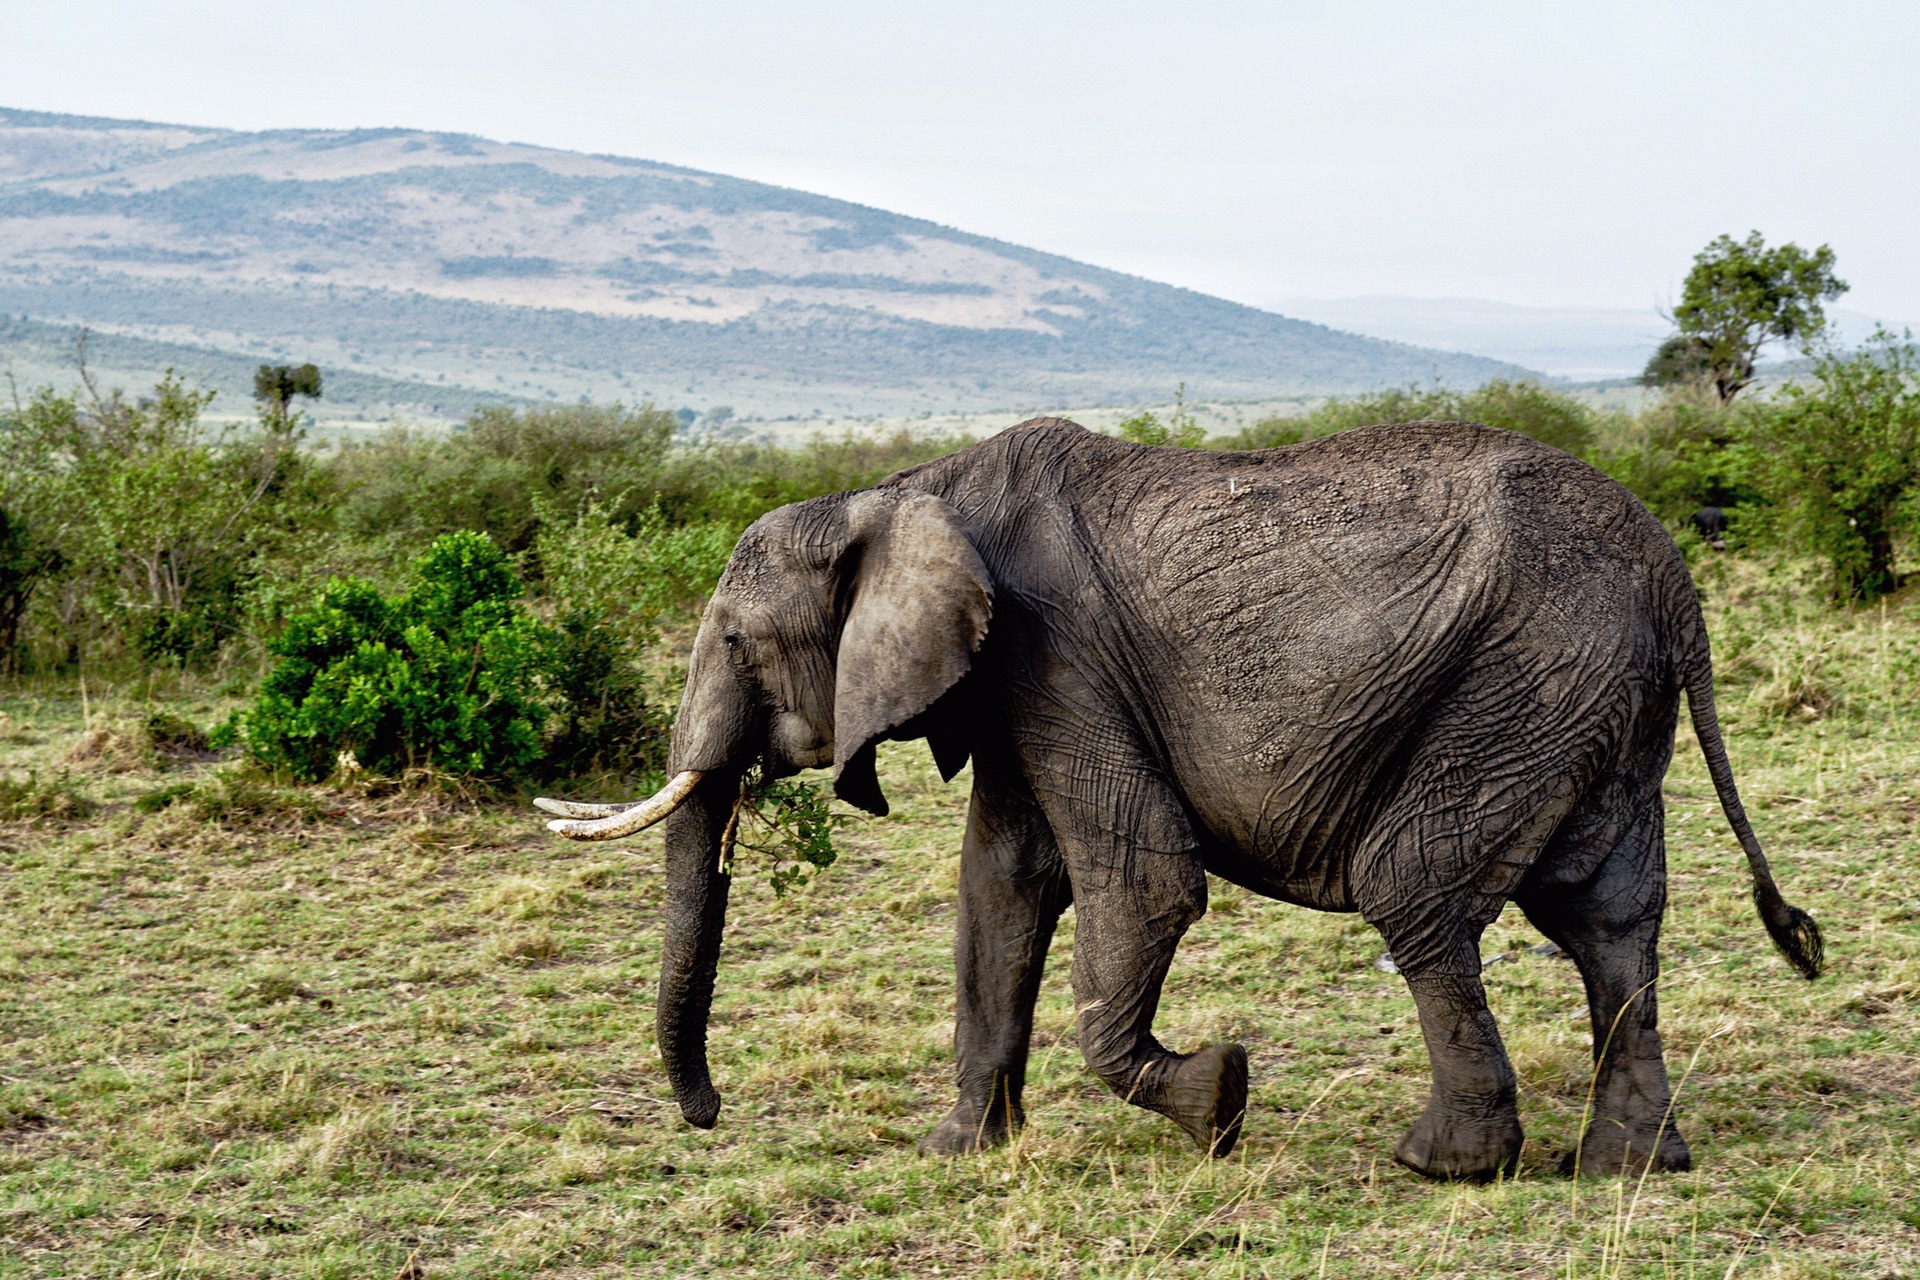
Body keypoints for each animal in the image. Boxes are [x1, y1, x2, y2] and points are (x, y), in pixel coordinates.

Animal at [537, 418, 1812, 1182]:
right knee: (1607, 918)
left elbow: (1142, 887)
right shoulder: (1020, 686)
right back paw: (1630, 1166)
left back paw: (1444, 1163)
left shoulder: (1056, 659)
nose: (706, 1113)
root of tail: (1674, 576)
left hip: (1525, 678)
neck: (896, 493)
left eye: (735, 641)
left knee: (1414, 886)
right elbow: (1000, 891)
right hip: (1597, 701)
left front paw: (1222, 1101)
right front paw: (961, 1153)